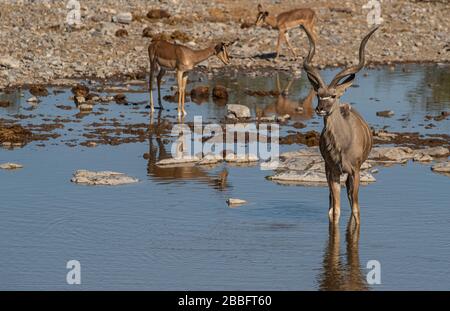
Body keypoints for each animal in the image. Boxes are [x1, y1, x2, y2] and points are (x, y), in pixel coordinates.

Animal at [302, 24, 380, 224]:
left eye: (333, 95)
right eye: (318, 94)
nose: (320, 109)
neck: (343, 144)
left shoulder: (355, 171)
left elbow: (356, 209)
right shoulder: (333, 171)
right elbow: (335, 211)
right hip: (328, 171)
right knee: (332, 201)